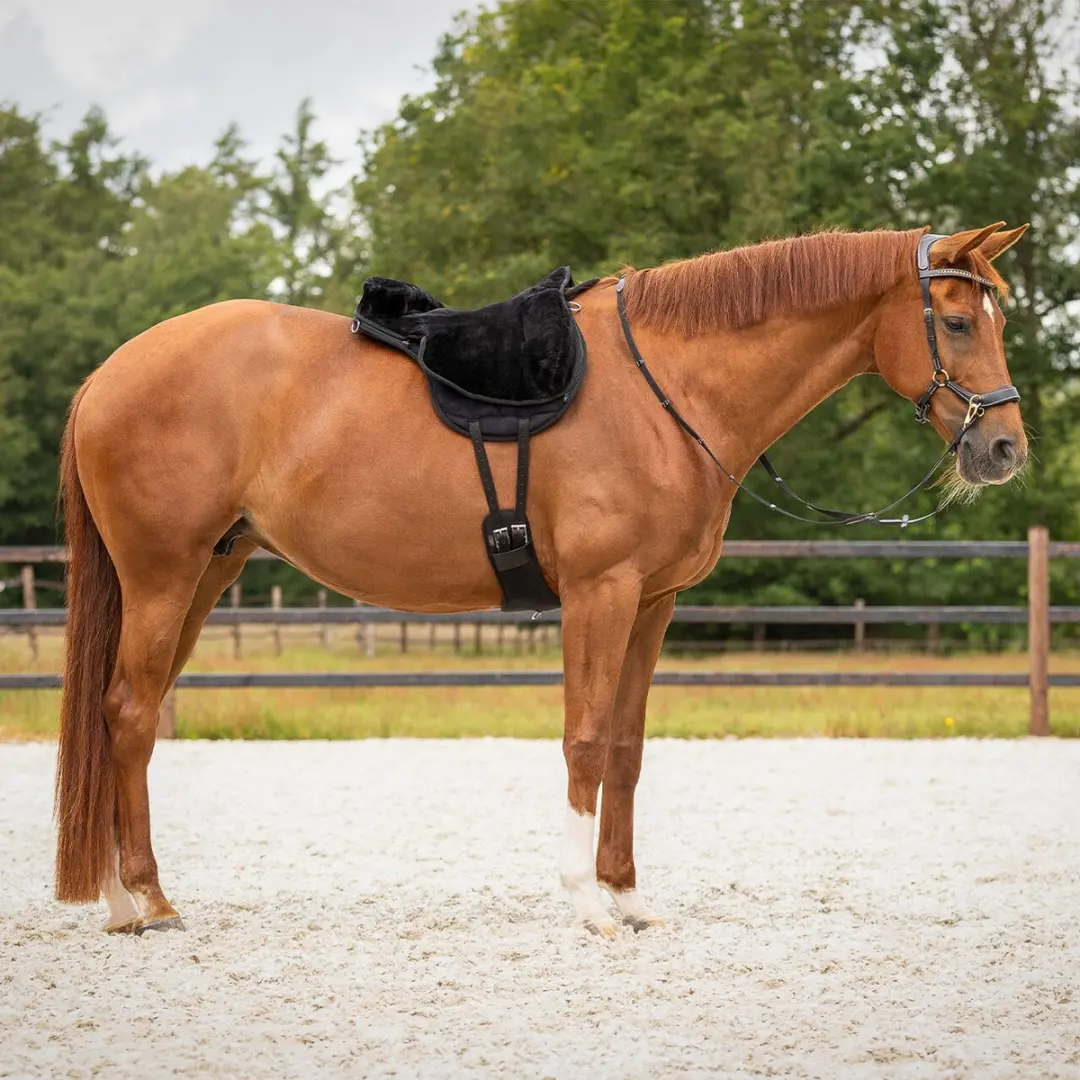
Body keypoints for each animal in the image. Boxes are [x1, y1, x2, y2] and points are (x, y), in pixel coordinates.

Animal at [54, 222, 1028, 937]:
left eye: (997, 321)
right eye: (953, 321)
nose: (1004, 449)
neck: (669, 388)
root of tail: (106, 374)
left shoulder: (654, 602)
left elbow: (628, 749)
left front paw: (628, 898)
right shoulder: (602, 593)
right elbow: (585, 740)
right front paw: (584, 904)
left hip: (206, 575)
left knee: (121, 717)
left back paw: (122, 900)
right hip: (163, 577)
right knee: (129, 716)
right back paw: (147, 901)